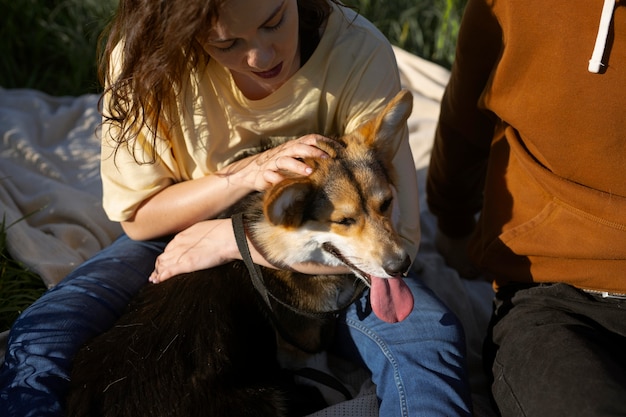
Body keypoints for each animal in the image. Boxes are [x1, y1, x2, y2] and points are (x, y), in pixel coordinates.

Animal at [66, 88, 414, 416]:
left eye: (386, 203)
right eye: (344, 221)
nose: (401, 266)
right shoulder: (305, 352)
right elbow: (331, 386)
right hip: (271, 399)